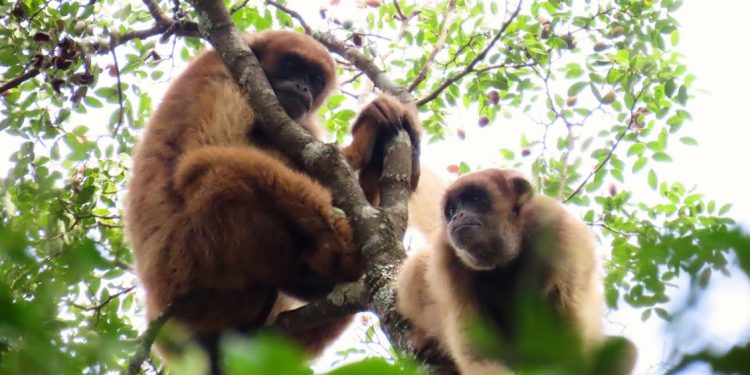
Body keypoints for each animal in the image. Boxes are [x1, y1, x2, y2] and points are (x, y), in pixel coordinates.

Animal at [126, 30, 426, 374]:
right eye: (291, 66)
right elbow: (213, 149)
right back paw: (341, 255)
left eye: (314, 78)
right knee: (215, 166)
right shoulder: (222, 78)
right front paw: (361, 143)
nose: (302, 87)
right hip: (188, 264)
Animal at [396, 170, 636, 375]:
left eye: (475, 199)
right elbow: (477, 352)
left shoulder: (560, 229)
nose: (458, 216)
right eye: (452, 210)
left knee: (625, 349)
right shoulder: (446, 257)